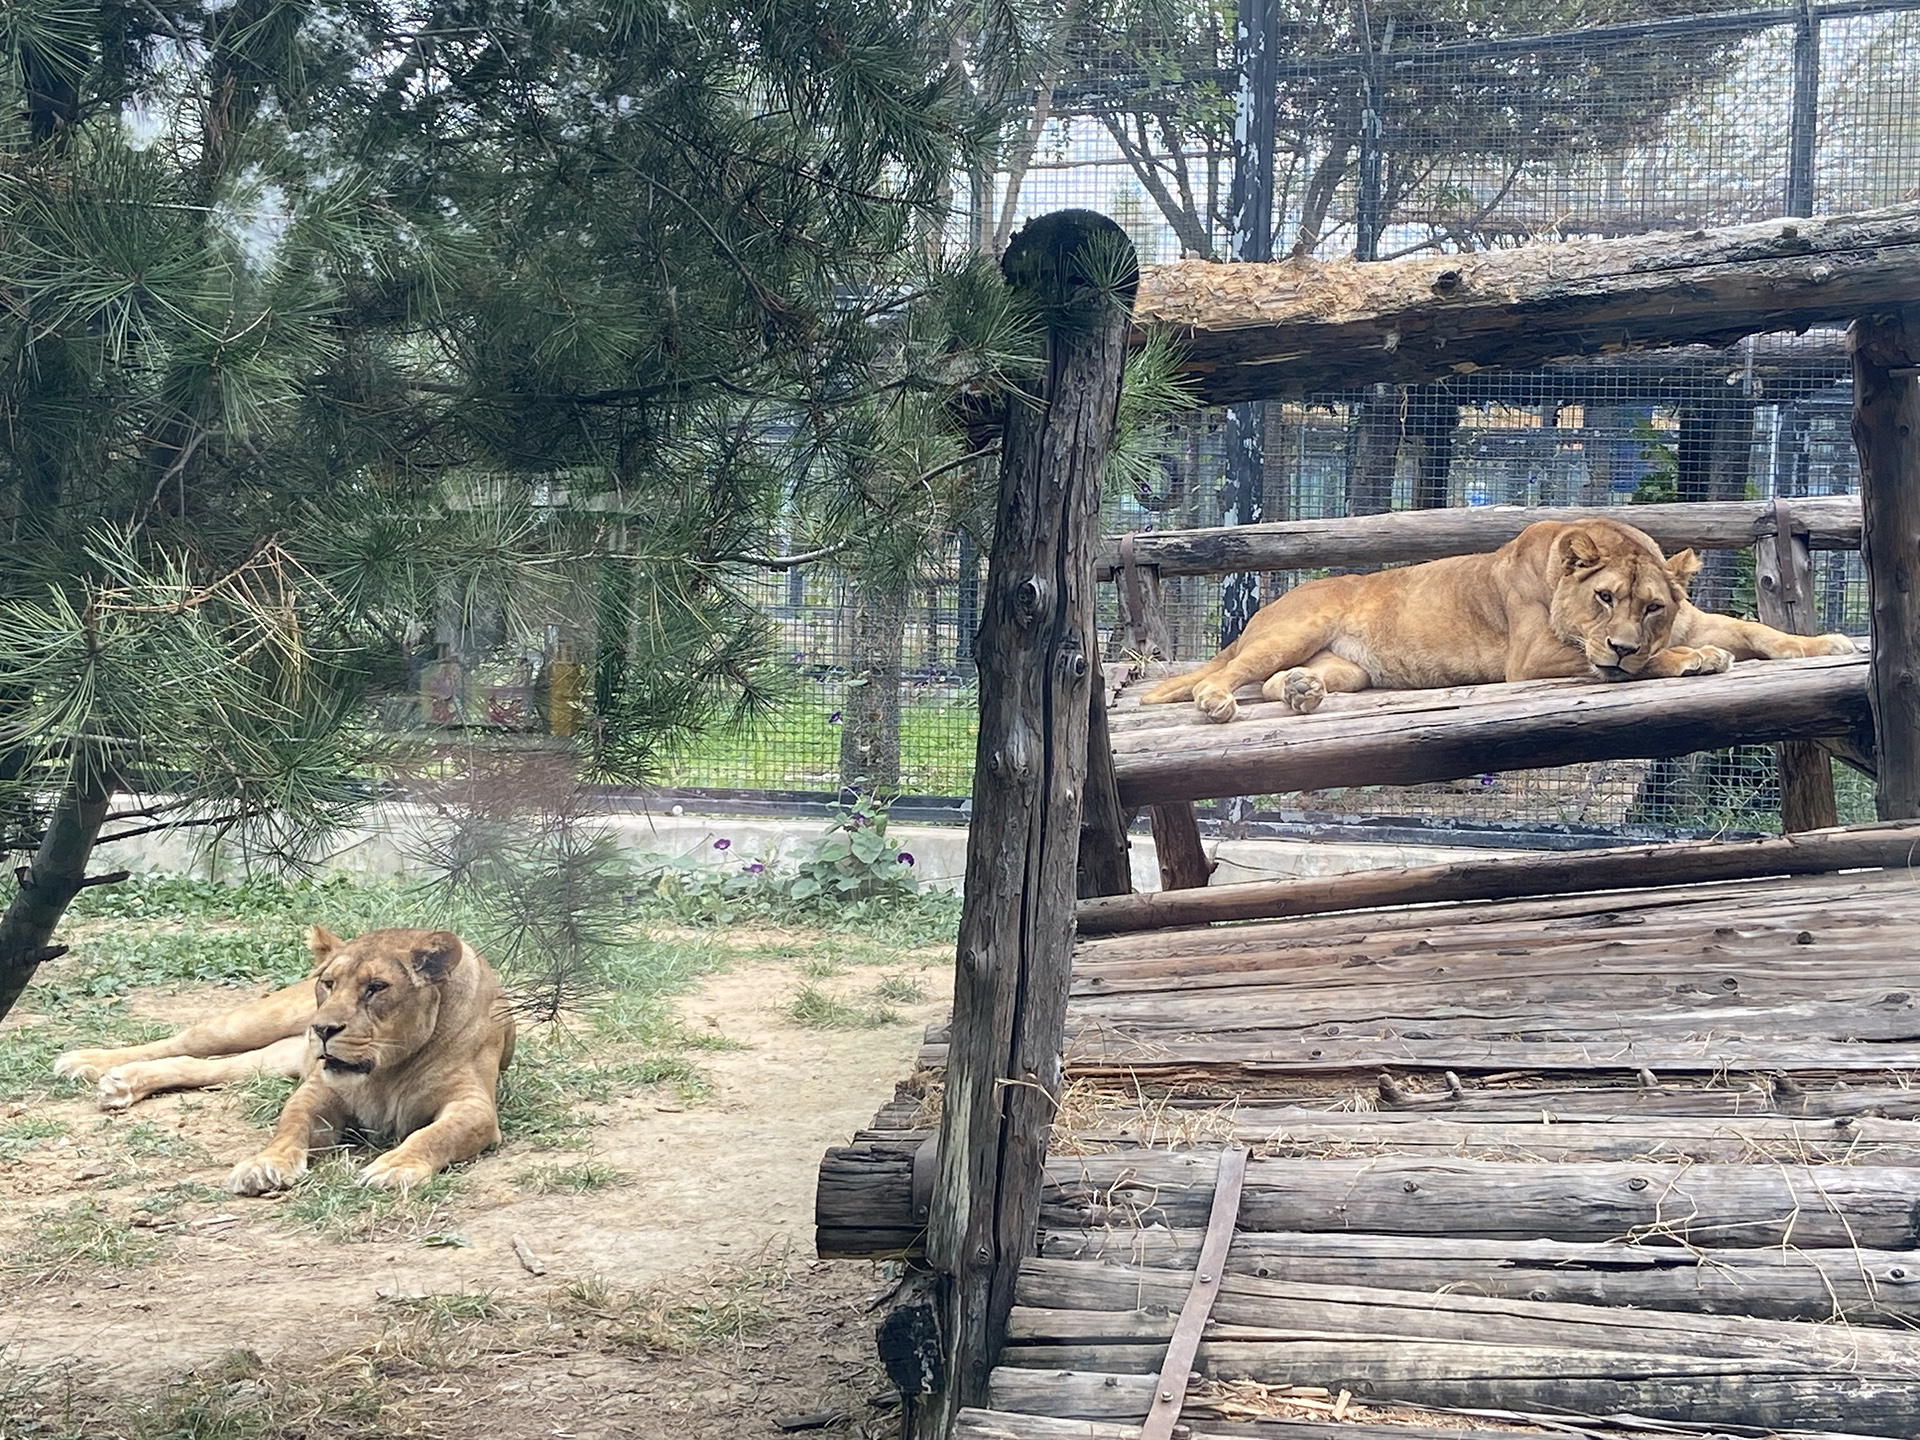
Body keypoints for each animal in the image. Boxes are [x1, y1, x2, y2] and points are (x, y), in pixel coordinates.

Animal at [53, 926, 516, 1195]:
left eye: (376, 987)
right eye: (328, 983)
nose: (323, 1029)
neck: (386, 1070)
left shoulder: (474, 1106)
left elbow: (434, 1135)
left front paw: (395, 1167)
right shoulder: (318, 1091)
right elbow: (289, 1125)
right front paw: (265, 1165)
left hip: (272, 1058)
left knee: (201, 1066)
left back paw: (121, 1083)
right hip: (252, 1022)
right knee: (186, 1040)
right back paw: (88, 1063)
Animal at [1140, 517, 1857, 723]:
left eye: (1653, 605)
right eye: (1605, 598)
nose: (1623, 643)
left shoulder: (1692, 618)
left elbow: (1755, 629)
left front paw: (1826, 642)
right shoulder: (1532, 658)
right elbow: (1641, 661)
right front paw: (1691, 661)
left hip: (1350, 670)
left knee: (1271, 681)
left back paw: (1300, 691)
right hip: (1296, 628)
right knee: (1232, 671)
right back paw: (1217, 703)